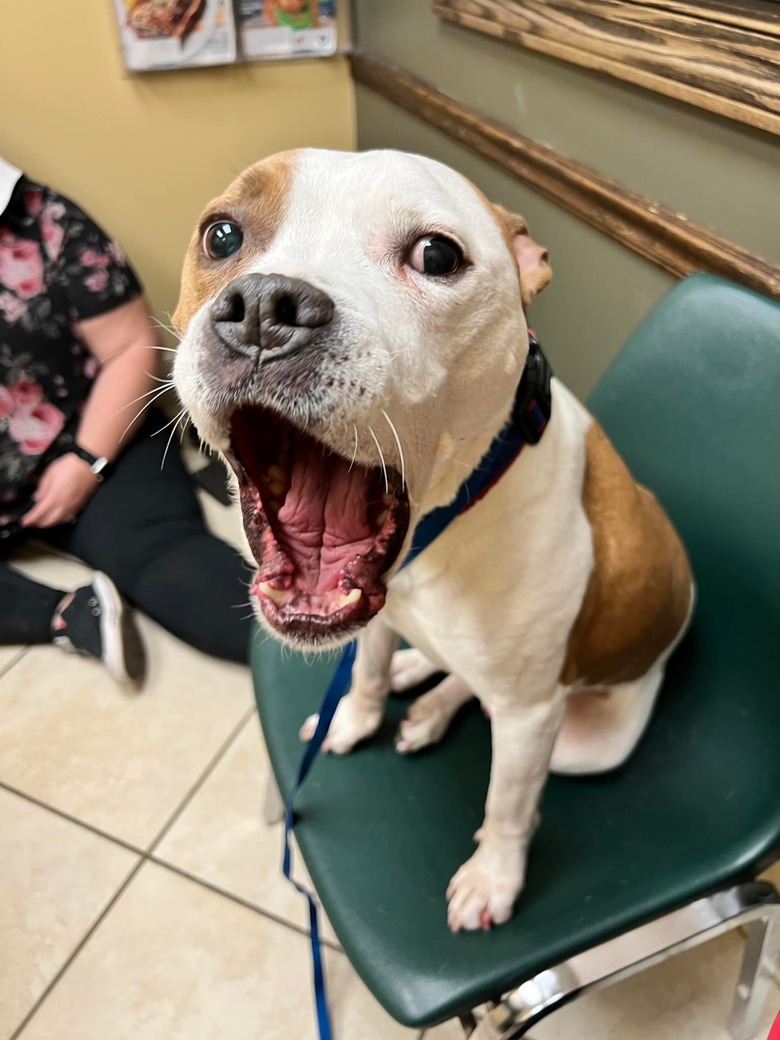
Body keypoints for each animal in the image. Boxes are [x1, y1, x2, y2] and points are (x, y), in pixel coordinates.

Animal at [172, 146, 694, 935]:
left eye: (437, 255)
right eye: (222, 234)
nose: (264, 307)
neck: (443, 529)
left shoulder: (532, 716)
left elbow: (507, 805)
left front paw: (494, 877)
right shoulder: (373, 619)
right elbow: (362, 671)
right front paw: (357, 716)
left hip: (583, 744)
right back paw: (420, 684)